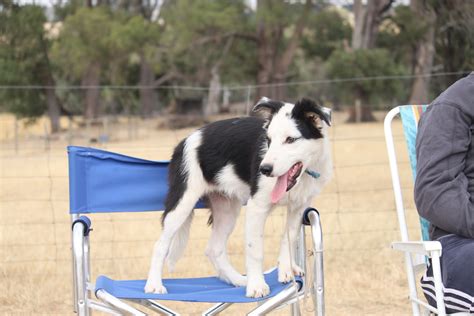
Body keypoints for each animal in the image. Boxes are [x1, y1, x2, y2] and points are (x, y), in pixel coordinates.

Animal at [145, 97, 334, 298]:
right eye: (268, 140)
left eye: (290, 139)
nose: (264, 169)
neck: (304, 175)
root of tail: (183, 142)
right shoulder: (256, 207)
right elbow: (255, 250)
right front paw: (257, 286)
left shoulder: (299, 207)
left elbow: (288, 238)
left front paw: (286, 270)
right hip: (182, 202)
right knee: (160, 245)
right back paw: (154, 285)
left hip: (226, 210)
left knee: (214, 249)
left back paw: (238, 280)